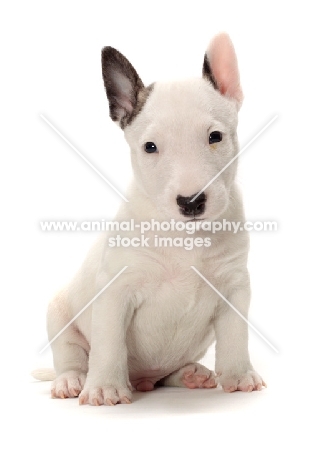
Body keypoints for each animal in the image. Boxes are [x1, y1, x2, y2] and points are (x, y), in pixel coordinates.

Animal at [36, 33, 266, 406]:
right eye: (150, 147)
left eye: (215, 137)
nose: (191, 202)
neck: (184, 237)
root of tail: (141, 378)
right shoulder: (115, 291)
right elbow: (109, 344)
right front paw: (105, 388)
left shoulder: (234, 287)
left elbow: (235, 335)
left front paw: (239, 375)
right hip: (59, 315)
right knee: (70, 355)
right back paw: (73, 380)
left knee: (164, 376)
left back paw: (189, 374)